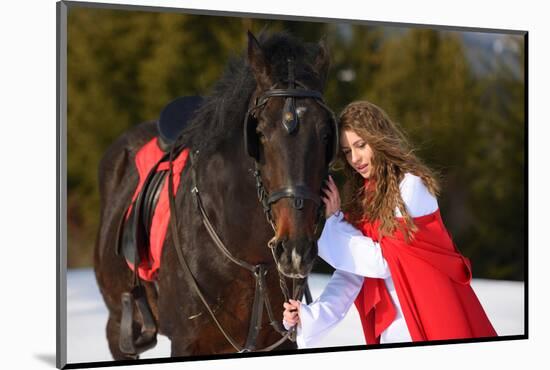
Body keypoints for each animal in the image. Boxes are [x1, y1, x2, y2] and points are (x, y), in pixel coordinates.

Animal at [92, 31, 338, 362]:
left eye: (325, 133)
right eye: (259, 132)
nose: (295, 251)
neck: (251, 259)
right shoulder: (187, 342)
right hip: (119, 321)